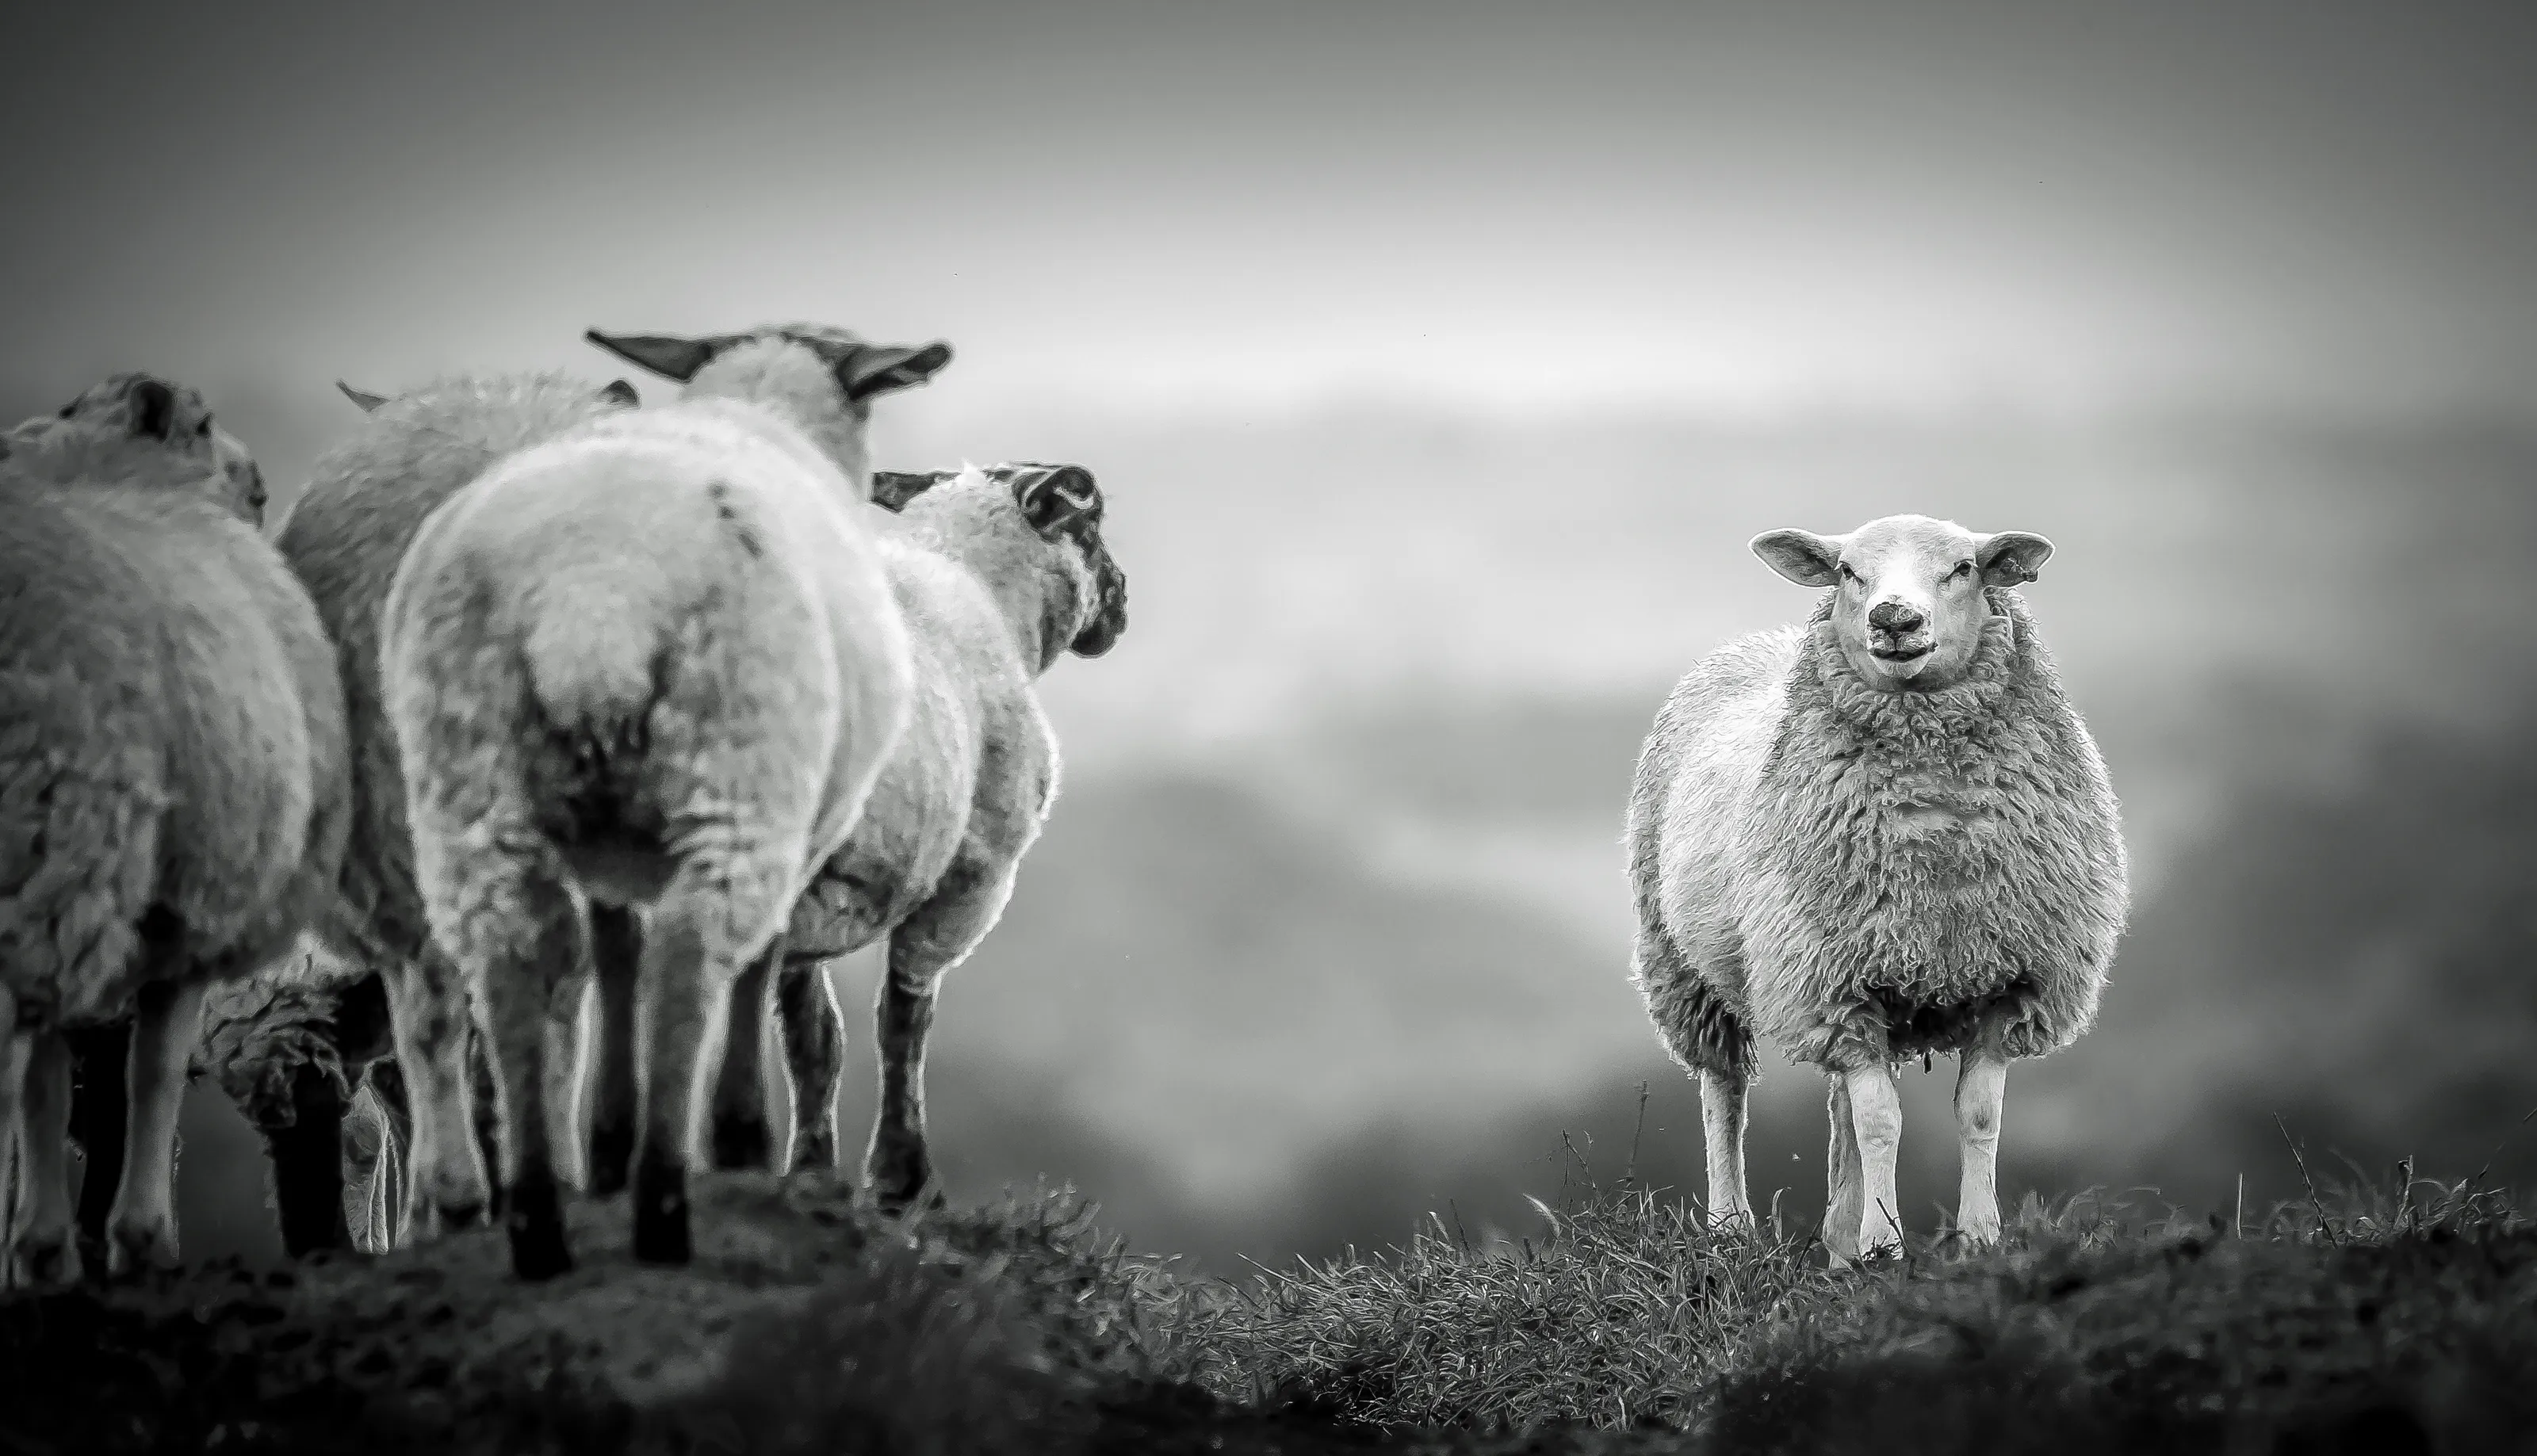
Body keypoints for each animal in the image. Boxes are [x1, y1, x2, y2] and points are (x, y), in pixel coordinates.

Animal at [0, 373, 349, 1286]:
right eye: (202, 423)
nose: (260, 484)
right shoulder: (186, 895)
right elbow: (150, 1071)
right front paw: (139, 1237)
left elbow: (48, 1081)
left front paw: (46, 1248)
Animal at [379, 321, 952, 1278]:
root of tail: (592, 598)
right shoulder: (800, 820)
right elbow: (754, 963)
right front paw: (729, 1136)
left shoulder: (607, 855)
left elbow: (615, 955)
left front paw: (608, 1138)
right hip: (737, 758)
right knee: (690, 955)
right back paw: (667, 1200)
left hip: (468, 771)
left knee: (506, 957)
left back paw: (539, 1219)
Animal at [608, 460, 1126, 1211]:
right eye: (1089, 528)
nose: (1122, 600)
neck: (977, 580)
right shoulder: (973, 878)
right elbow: (902, 1022)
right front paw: (903, 1180)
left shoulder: (811, 917)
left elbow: (814, 1039)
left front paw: (812, 1169)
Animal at [1627, 513, 2127, 1262]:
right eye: (1847, 572)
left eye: (1964, 568)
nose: (1894, 617)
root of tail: (1756, 642)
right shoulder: (1837, 982)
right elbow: (1882, 1122)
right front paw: (1883, 1247)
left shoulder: (2008, 980)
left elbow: (1978, 1116)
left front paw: (1978, 1238)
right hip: (1685, 964)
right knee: (1724, 1089)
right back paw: (1731, 1226)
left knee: (1838, 1100)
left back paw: (1837, 1234)